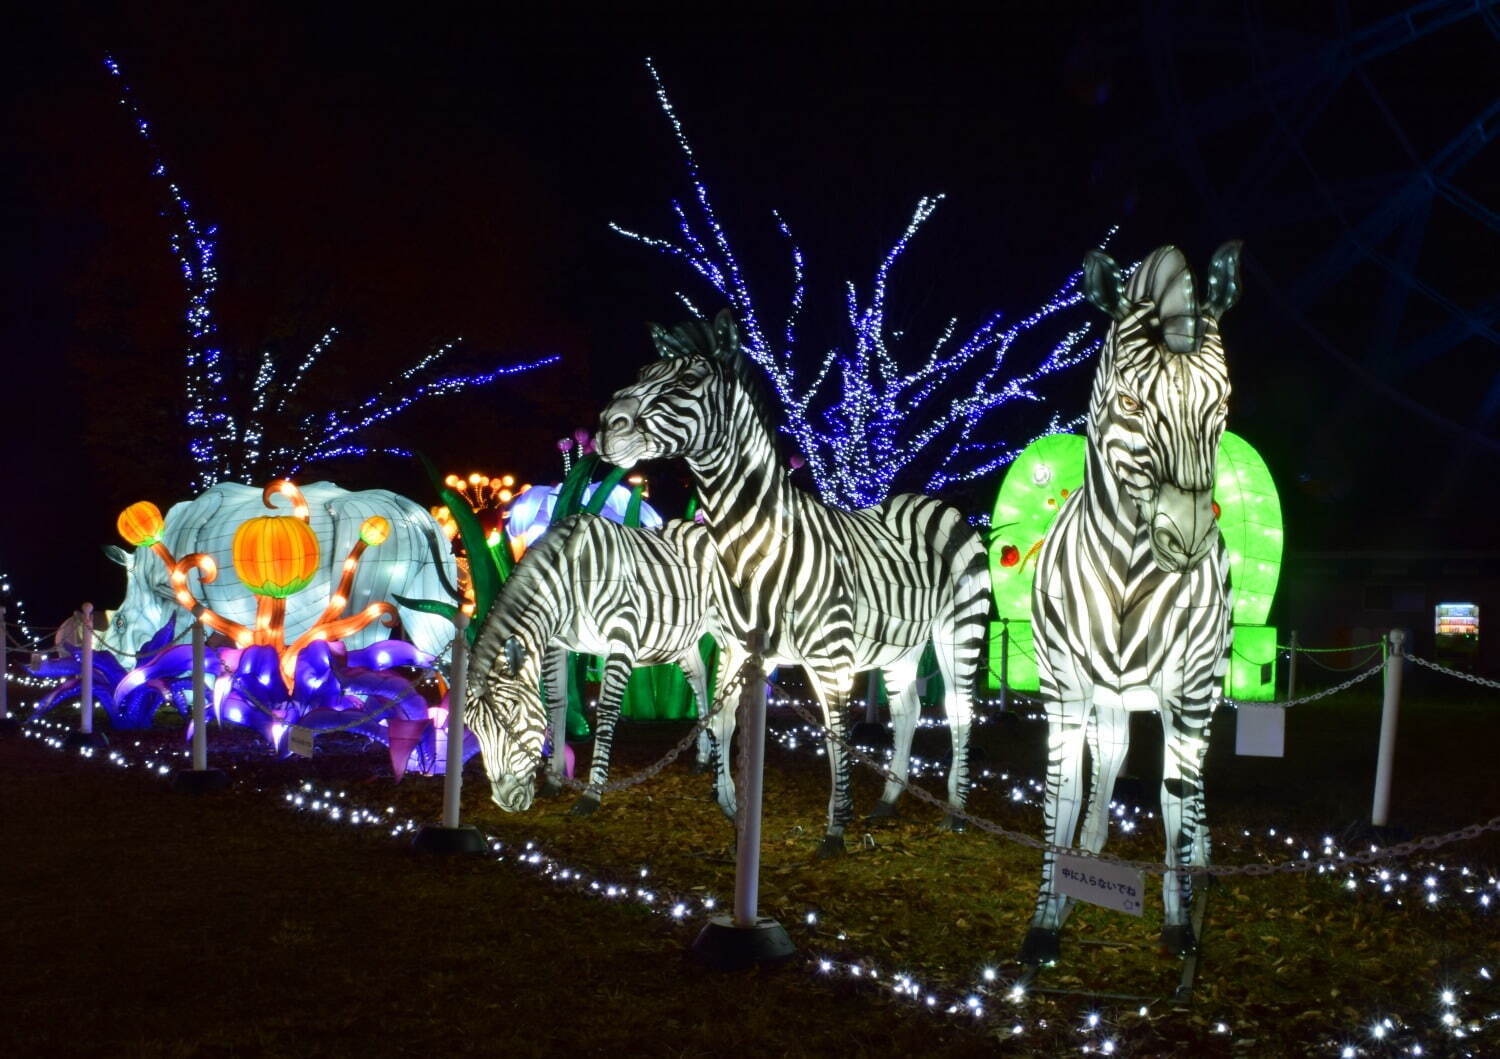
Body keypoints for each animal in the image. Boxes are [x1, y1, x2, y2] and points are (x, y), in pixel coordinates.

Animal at [465, 510, 729, 810]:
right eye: (471, 727)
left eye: (512, 714)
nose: (506, 801)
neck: (568, 581)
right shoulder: (556, 644)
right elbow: (556, 704)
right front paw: (554, 781)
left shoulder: (622, 639)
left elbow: (607, 711)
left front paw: (592, 793)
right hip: (682, 636)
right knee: (698, 676)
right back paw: (702, 758)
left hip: (720, 625)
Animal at [597, 313, 996, 858]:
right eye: (643, 373)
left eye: (688, 381)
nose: (605, 426)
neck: (753, 543)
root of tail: (930, 501)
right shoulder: (739, 649)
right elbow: (723, 721)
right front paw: (732, 807)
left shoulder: (830, 654)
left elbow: (835, 733)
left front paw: (835, 829)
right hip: (901, 644)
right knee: (909, 709)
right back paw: (887, 803)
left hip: (960, 629)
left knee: (959, 711)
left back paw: (955, 812)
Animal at [1020, 241, 1242, 966]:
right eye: (1128, 401)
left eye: (1224, 402)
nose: (1189, 537)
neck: (1125, 574)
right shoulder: (1062, 691)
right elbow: (1060, 800)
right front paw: (1048, 918)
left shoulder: (1187, 693)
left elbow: (1174, 806)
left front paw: (1178, 924)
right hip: (1108, 701)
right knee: (1106, 768)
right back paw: (1088, 857)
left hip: (1205, 686)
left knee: (1193, 784)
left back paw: (1200, 869)